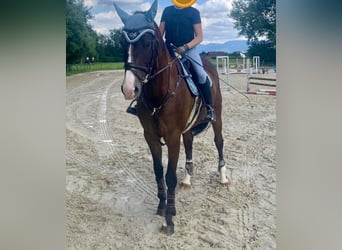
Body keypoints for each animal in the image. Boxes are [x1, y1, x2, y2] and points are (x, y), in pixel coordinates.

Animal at [113, 0, 228, 235]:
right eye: (122, 42)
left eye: (148, 42)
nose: (129, 89)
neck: (159, 92)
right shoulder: (150, 136)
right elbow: (158, 171)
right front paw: (161, 206)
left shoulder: (172, 136)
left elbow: (170, 176)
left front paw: (169, 218)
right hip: (188, 128)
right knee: (190, 143)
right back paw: (188, 178)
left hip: (217, 117)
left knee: (219, 142)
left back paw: (223, 176)